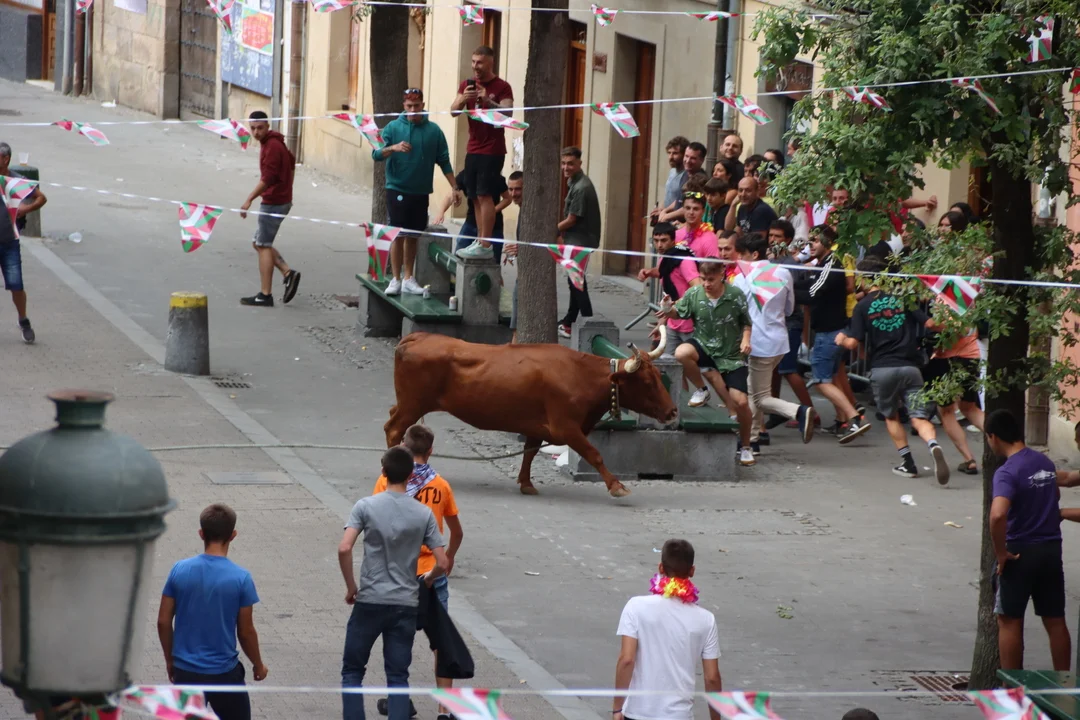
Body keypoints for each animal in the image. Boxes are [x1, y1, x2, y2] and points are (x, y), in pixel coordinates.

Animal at [385, 325, 677, 498]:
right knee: (394, 428)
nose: (673, 411)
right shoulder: (566, 427)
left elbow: (530, 453)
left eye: (658, 376)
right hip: (413, 403)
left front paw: (526, 483)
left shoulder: (538, 426)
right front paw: (617, 486)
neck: (580, 374)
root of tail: (418, 336)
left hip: (407, 402)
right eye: (647, 382)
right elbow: (594, 454)